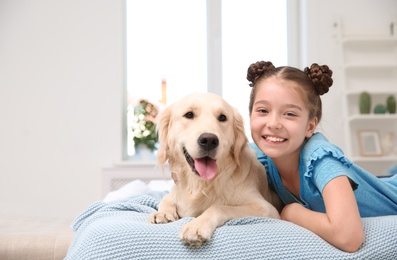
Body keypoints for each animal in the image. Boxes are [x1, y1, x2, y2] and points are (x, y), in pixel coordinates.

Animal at [148, 92, 282, 247]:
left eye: (222, 117)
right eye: (189, 114)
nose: (209, 140)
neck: (201, 184)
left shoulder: (267, 209)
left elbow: (219, 206)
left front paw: (196, 225)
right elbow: (166, 198)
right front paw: (162, 213)